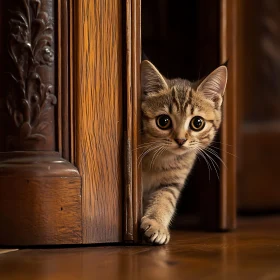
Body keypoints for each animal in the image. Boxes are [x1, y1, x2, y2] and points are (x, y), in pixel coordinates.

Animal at [140, 60, 228, 244]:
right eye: (163, 121)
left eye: (197, 123)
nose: (180, 140)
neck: (161, 159)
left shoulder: (172, 181)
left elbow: (165, 200)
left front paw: (156, 223)